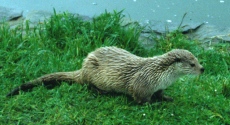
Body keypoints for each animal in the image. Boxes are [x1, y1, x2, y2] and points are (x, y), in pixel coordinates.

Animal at [5, 46, 204, 103]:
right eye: (192, 64)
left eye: (198, 59)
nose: (202, 69)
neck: (159, 74)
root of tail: (83, 67)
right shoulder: (141, 84)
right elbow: (141, 99)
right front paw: (153, 104)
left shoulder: (159, 86)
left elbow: (161, 94)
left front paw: (167, 98)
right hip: (92, 75)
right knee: (88, 85)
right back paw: (101, 91)